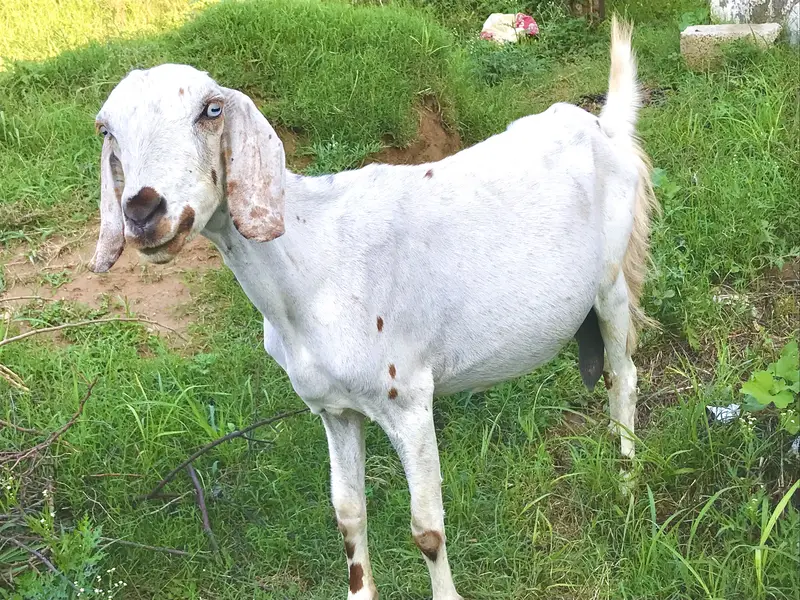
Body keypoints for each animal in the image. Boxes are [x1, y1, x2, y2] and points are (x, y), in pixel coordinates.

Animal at [89, 17, 657, 600]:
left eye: (211, 110)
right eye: (106, 129)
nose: (143, 211)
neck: (312, 263)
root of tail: (604, 126)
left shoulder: (408, 399)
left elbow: (426, 527)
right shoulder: (333, 409)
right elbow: (347, 512)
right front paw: (359, 589)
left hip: (612, 280)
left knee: (625, 375)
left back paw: (626, 482)